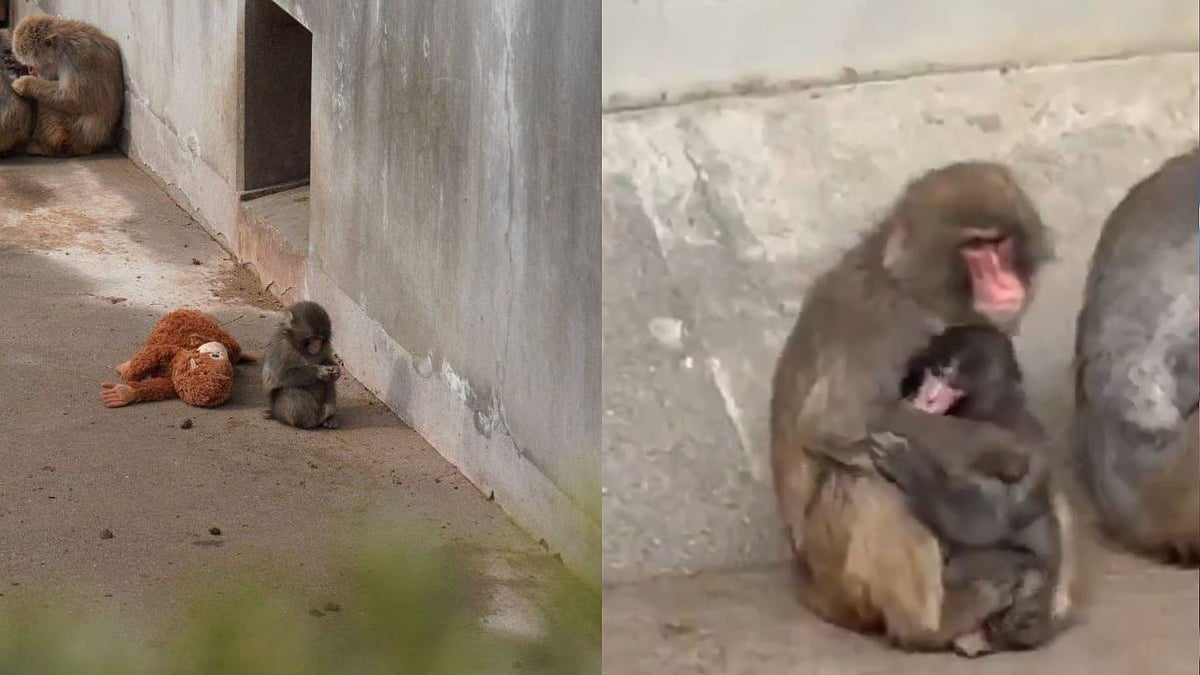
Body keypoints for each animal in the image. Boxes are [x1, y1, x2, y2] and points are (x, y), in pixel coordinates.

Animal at [10, 14, 123, 157]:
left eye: (33, 64)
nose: (31, 71)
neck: (63, 47)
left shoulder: (77, 59)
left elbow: (74, 98)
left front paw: (25, 84)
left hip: (69, 133)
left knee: (48, 104)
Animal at [262, 301, 342, 430]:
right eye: (313, 338)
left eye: (321, 339)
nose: (317, 345)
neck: (300, 347)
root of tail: (274, 413)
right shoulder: (282, 347)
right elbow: (282, 376)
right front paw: (319, 371)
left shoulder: (325, 348)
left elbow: (327, 360)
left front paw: (336, 370)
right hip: (280, 410)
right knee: (290, 391)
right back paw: (315, 419)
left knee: (329, 382)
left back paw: (329, 418)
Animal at [769, 161, 1079, 658]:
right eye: (975, 248)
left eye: (1000, 244)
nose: (1004, 284)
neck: (915, 291)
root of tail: (805, 584)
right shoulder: (882, 322)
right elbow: (841, 419)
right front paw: (998, 445)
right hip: (834, 579)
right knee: (871, 482)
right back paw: (929, 627)